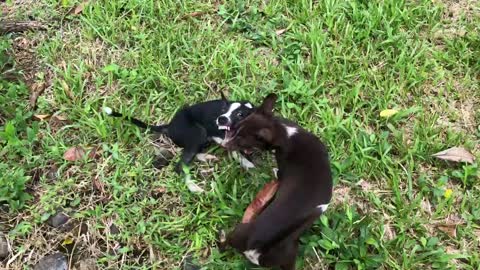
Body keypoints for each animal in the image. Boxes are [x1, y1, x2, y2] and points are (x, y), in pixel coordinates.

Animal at [103, 93, 256, 173]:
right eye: (223, 110)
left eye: (240, 114)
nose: (221, 119)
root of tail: (169, 126)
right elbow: (234, 151)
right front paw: (246, 162)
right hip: (198, 133)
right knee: (180, 166)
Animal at [219, 93, 332, 270]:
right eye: (236, 129)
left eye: (241, 141)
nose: (224, 145)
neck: (284, 132)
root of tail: (256, 249)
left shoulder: (282, 169)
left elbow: (278, 172)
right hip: (289, 252)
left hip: (239, 229)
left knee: (223, 244)